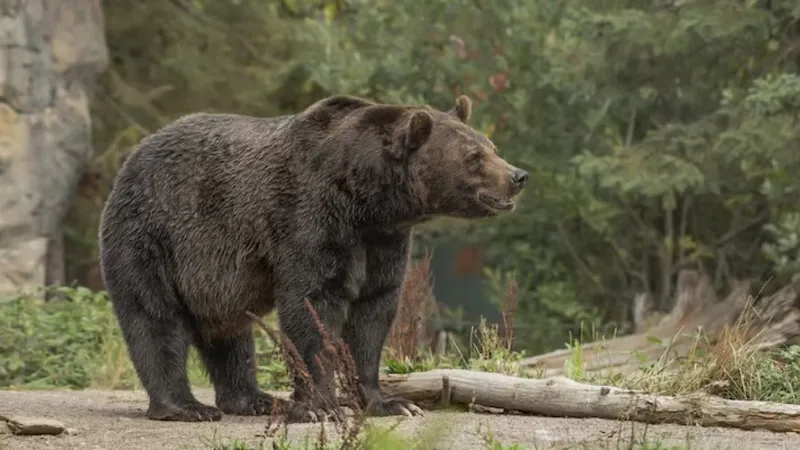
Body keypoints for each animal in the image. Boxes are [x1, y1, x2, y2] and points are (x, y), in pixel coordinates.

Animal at [97, 93, 529, 423]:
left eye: (491, 147)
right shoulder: (311, 218)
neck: (367, 200)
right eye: (474, 156)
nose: (518, 176)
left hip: (212, 277)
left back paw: (254, 399)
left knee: (230, 334)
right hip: (152, 235)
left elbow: (373, 314)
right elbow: (312, 306)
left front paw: (390, 402)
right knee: (155, 318)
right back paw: (186, 407)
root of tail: (133, 156)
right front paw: (321, 406)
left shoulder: (383, 242)